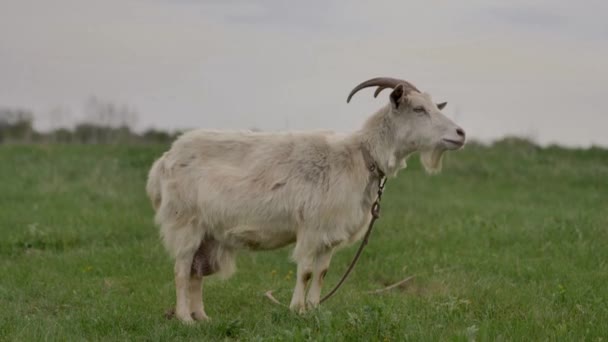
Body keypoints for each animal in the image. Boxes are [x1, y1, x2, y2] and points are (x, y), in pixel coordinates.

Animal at [146, 77, 466, 324]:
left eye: (434, 107)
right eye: (419, 109)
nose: (460, 133)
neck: (361, 157)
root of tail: (164, 162)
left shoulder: (330, 234)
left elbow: (322, 273)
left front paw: (314, 310)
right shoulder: (312, 228)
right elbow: (306, 271)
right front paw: (296, 310)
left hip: (207, 233)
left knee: (196, 273)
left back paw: (202, 317)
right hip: (185, 222)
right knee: (181, 270)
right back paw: (185, 319)